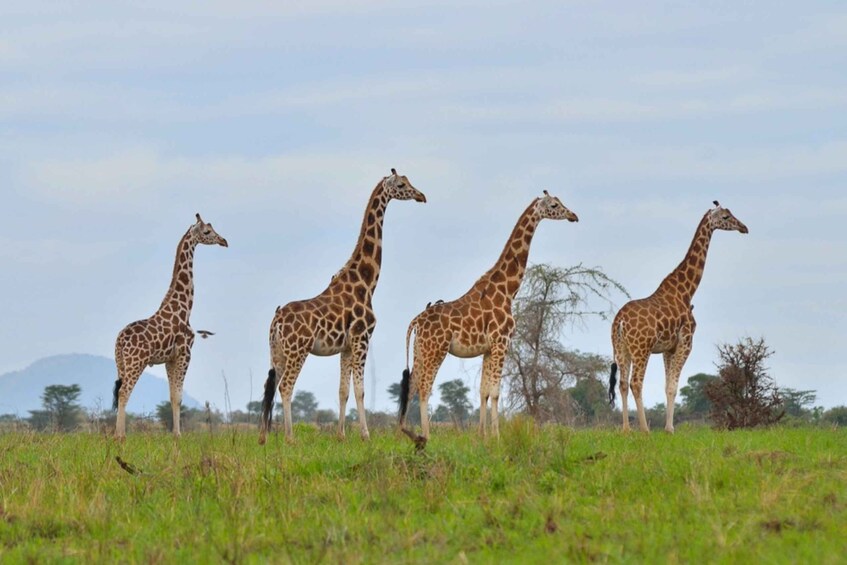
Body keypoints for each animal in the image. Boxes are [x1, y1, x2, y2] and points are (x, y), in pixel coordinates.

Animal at [112, 214, 229, 438]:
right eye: (208, 231)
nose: (224, 241)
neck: (185, 307)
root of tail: (120, 340)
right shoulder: (185, 353)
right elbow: (178, 396)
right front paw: (178, 435)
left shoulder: (169, 359)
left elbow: (172, 395)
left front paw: (175, 434)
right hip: (136, 362)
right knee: (124, 392)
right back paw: (120, 436)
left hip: (121, 363)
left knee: (120, 391)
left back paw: (117, 435)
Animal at [256, 170, 424, 442]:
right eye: (401, 185)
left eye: (409, 182)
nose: (421, 196)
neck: (366, 283)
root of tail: (276, 321)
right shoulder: (361, 339)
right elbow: (360, 390)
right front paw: (365, 435)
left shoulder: (345, 347)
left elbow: (343, 391)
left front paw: (341, 436)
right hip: (298, 350)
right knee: (286, 386)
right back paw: (290, 438)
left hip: (277, 351)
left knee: (269, 386)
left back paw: (263, 438)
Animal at [400, 191, 580, 440]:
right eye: (554, 205)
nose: (573, 216)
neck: (507, 290)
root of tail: (415, 321)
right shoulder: (501, 342)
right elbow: (495, 392)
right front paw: (497, 435)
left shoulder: (487, 348)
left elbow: (483, 391)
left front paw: (482, 435)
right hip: (436, 350)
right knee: (425, 387)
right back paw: (426, 435)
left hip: (420, 350)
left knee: (412, 386)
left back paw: (403, 432)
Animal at [608, 202, 748, 432]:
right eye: (726, 217)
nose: (744, 228)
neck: (686, 291)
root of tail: (620, 322)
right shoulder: (686, 342)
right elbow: (673, 386)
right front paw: (670, 429)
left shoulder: (668, 348)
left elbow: (667, 386)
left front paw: (668, 427)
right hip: (641, 349)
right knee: (636, 382)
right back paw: (645, 430)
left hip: (621, 349)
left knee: (622, 384)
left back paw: (626, 430)